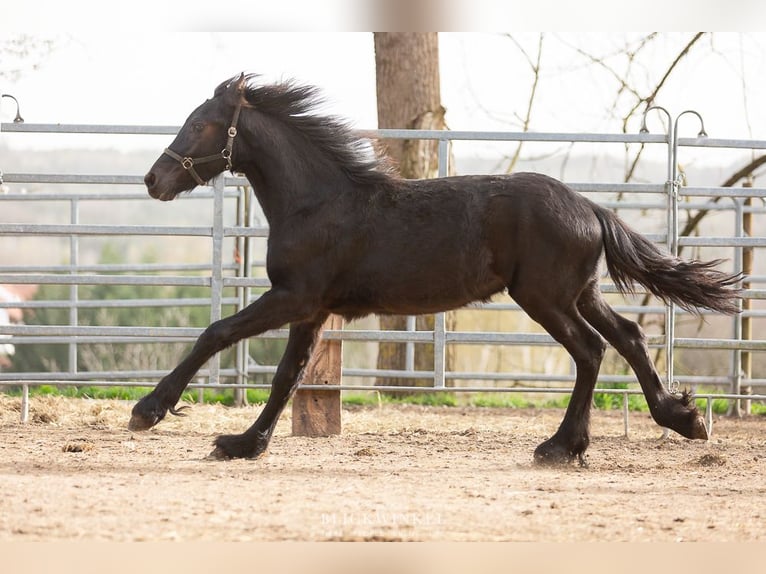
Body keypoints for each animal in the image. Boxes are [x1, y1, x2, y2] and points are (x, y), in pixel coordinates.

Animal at [129, 74, 740, 466]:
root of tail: (590, 207)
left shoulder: (294, 297)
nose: (153, 180)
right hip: (578, 292)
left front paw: (149, 411)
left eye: (200, 125)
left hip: (544, 297)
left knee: (590, 351)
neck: (317, 202)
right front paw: (242, 444)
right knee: (630, 337)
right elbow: (287, 376)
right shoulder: (313, 309)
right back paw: (683, 419)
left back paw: (560, 448)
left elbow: (216, 333)